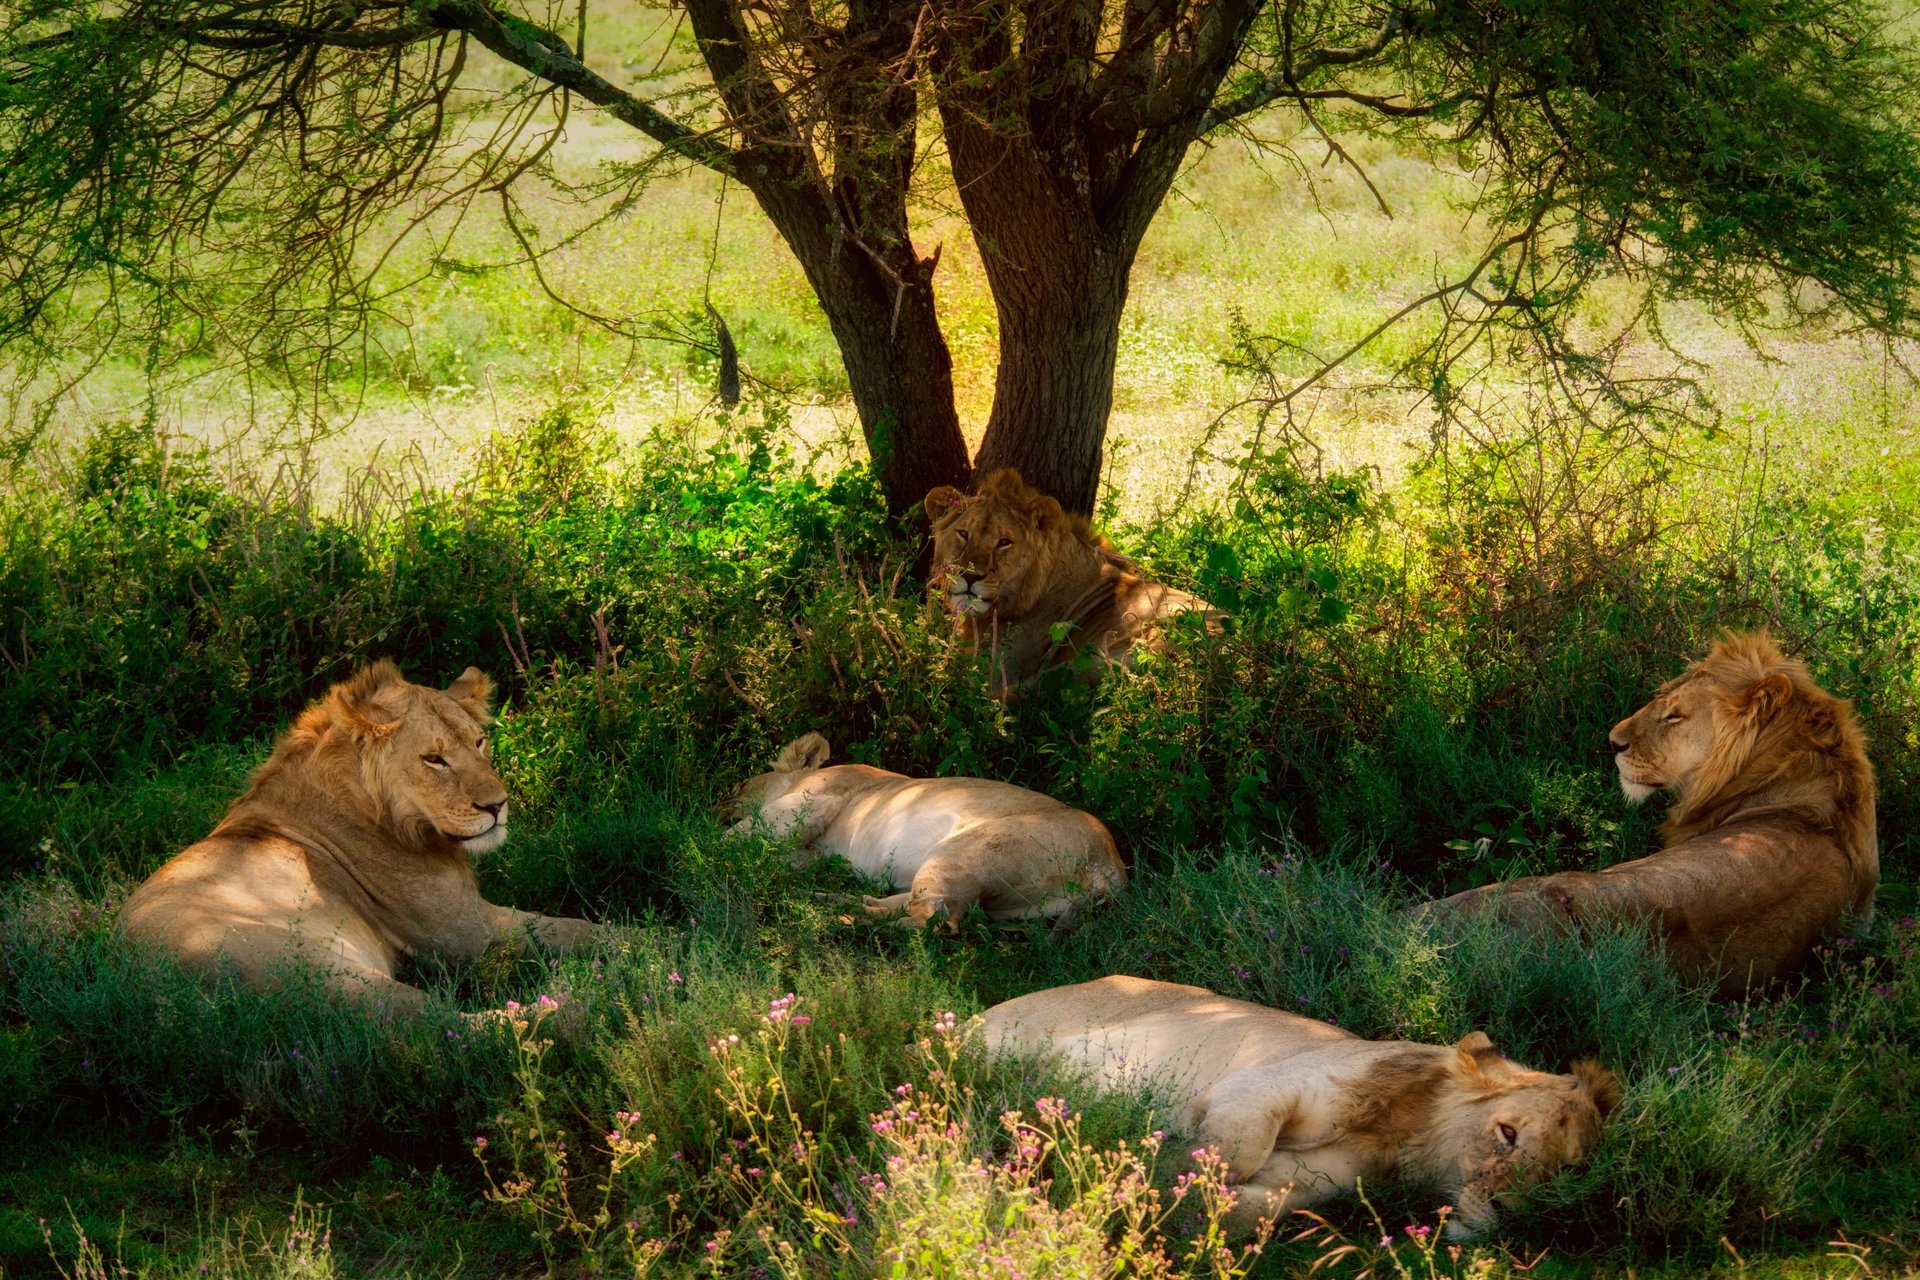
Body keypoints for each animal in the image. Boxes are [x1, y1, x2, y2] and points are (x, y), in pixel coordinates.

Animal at [120, 661, 597, 1016]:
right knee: (455, 1027)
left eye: (479, 742)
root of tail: (142, 983)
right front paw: (619, 949)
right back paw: (574, 1009)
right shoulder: (466, 933)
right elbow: (578, 929)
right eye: (434, 759)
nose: (497, 806)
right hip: (332, 975)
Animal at [721, 732, 1126, 930]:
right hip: (1008, 903)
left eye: (740, 785)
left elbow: (741, 835)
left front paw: (709, 841)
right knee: (916, 906)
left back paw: (839, 919)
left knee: (931, 920)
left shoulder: (815, 799)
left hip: (961, 853)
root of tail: (1111, 865)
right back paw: (822, 898)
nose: (715, 807)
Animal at [981, 976, 1618, 1237]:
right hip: (1004, 1037)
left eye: (1566, 1172)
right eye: (1507, 1134)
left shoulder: (1316, 1182)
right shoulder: (1263, 1081)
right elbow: (1235, 1149)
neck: (1402, 1139)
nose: (1508, 1210)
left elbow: (1250, 1211)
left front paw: (1159, 1192)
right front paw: (1157, 1166)